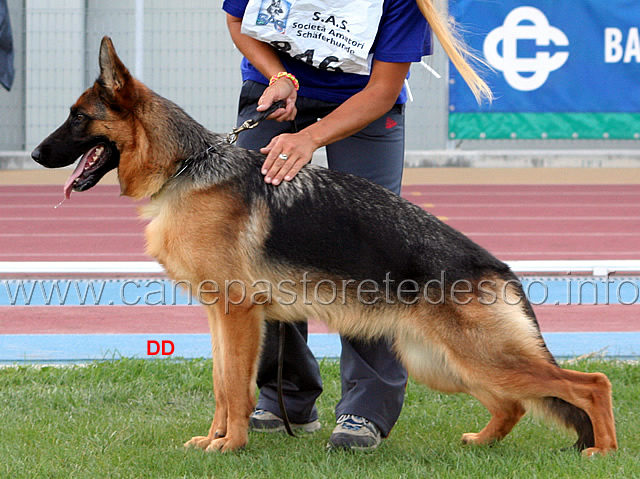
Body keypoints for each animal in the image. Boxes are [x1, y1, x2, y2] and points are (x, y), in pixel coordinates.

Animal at [32, 38, 616, 458]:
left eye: (78, 117)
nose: (36, 154)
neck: (187, 169)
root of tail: (499, 268)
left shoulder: (237, 314)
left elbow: (233, 387)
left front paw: (231, 446)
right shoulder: (219, 315)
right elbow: (223, 385)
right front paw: (215, 438)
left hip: (480, 357)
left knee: (590, 383)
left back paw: (602, 452)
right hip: (446, 363)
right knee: (516, 405)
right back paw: (484, 441)